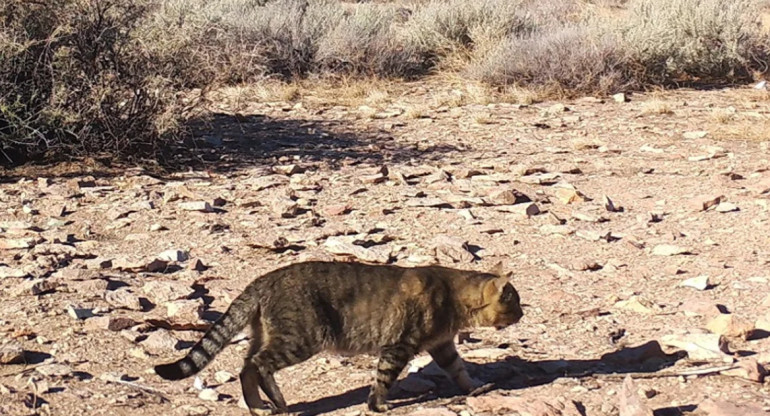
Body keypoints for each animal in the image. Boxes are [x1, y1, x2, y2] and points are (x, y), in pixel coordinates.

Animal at [153, 260, 520, 412]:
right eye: (514, 302)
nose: (523, 314)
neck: (452, 294)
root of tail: (264, 279)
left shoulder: (442, 345)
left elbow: (460, 370)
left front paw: (474, 388)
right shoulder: (398, 346)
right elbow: (383, 380)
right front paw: (377, 405)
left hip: (268, 333)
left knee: (246, 367)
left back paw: (257, 406)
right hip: (302, 337)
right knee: (259, 364)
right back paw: (277, 401)